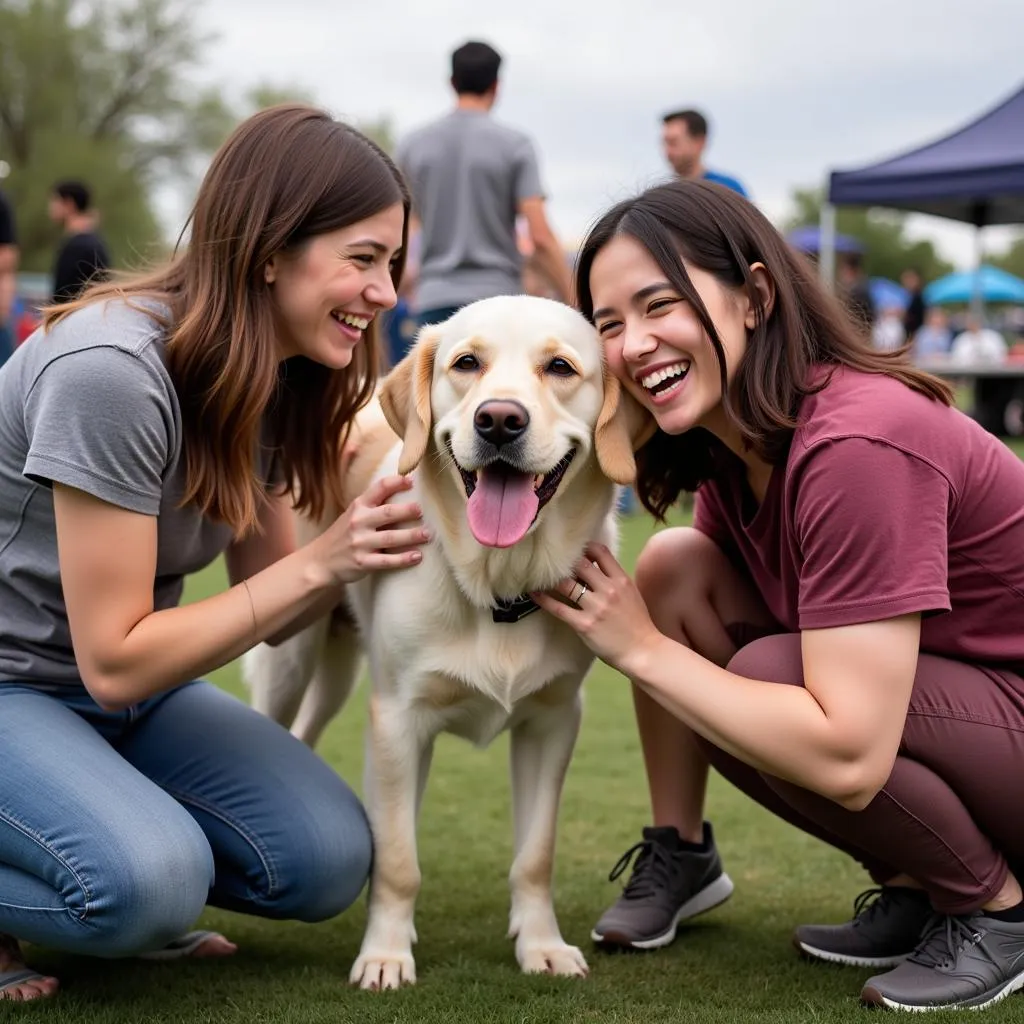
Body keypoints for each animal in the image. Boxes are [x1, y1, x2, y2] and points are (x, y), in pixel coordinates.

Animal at [243, 294, 643, 991]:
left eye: (560, 368)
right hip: (291, 659)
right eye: (466, 363)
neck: (498, 588)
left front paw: (541, 946)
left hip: (339, 672)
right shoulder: (398, 720)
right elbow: (399, 858)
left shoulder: (553, 721)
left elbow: (535, 855)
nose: (500, 420)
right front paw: (384, 955)